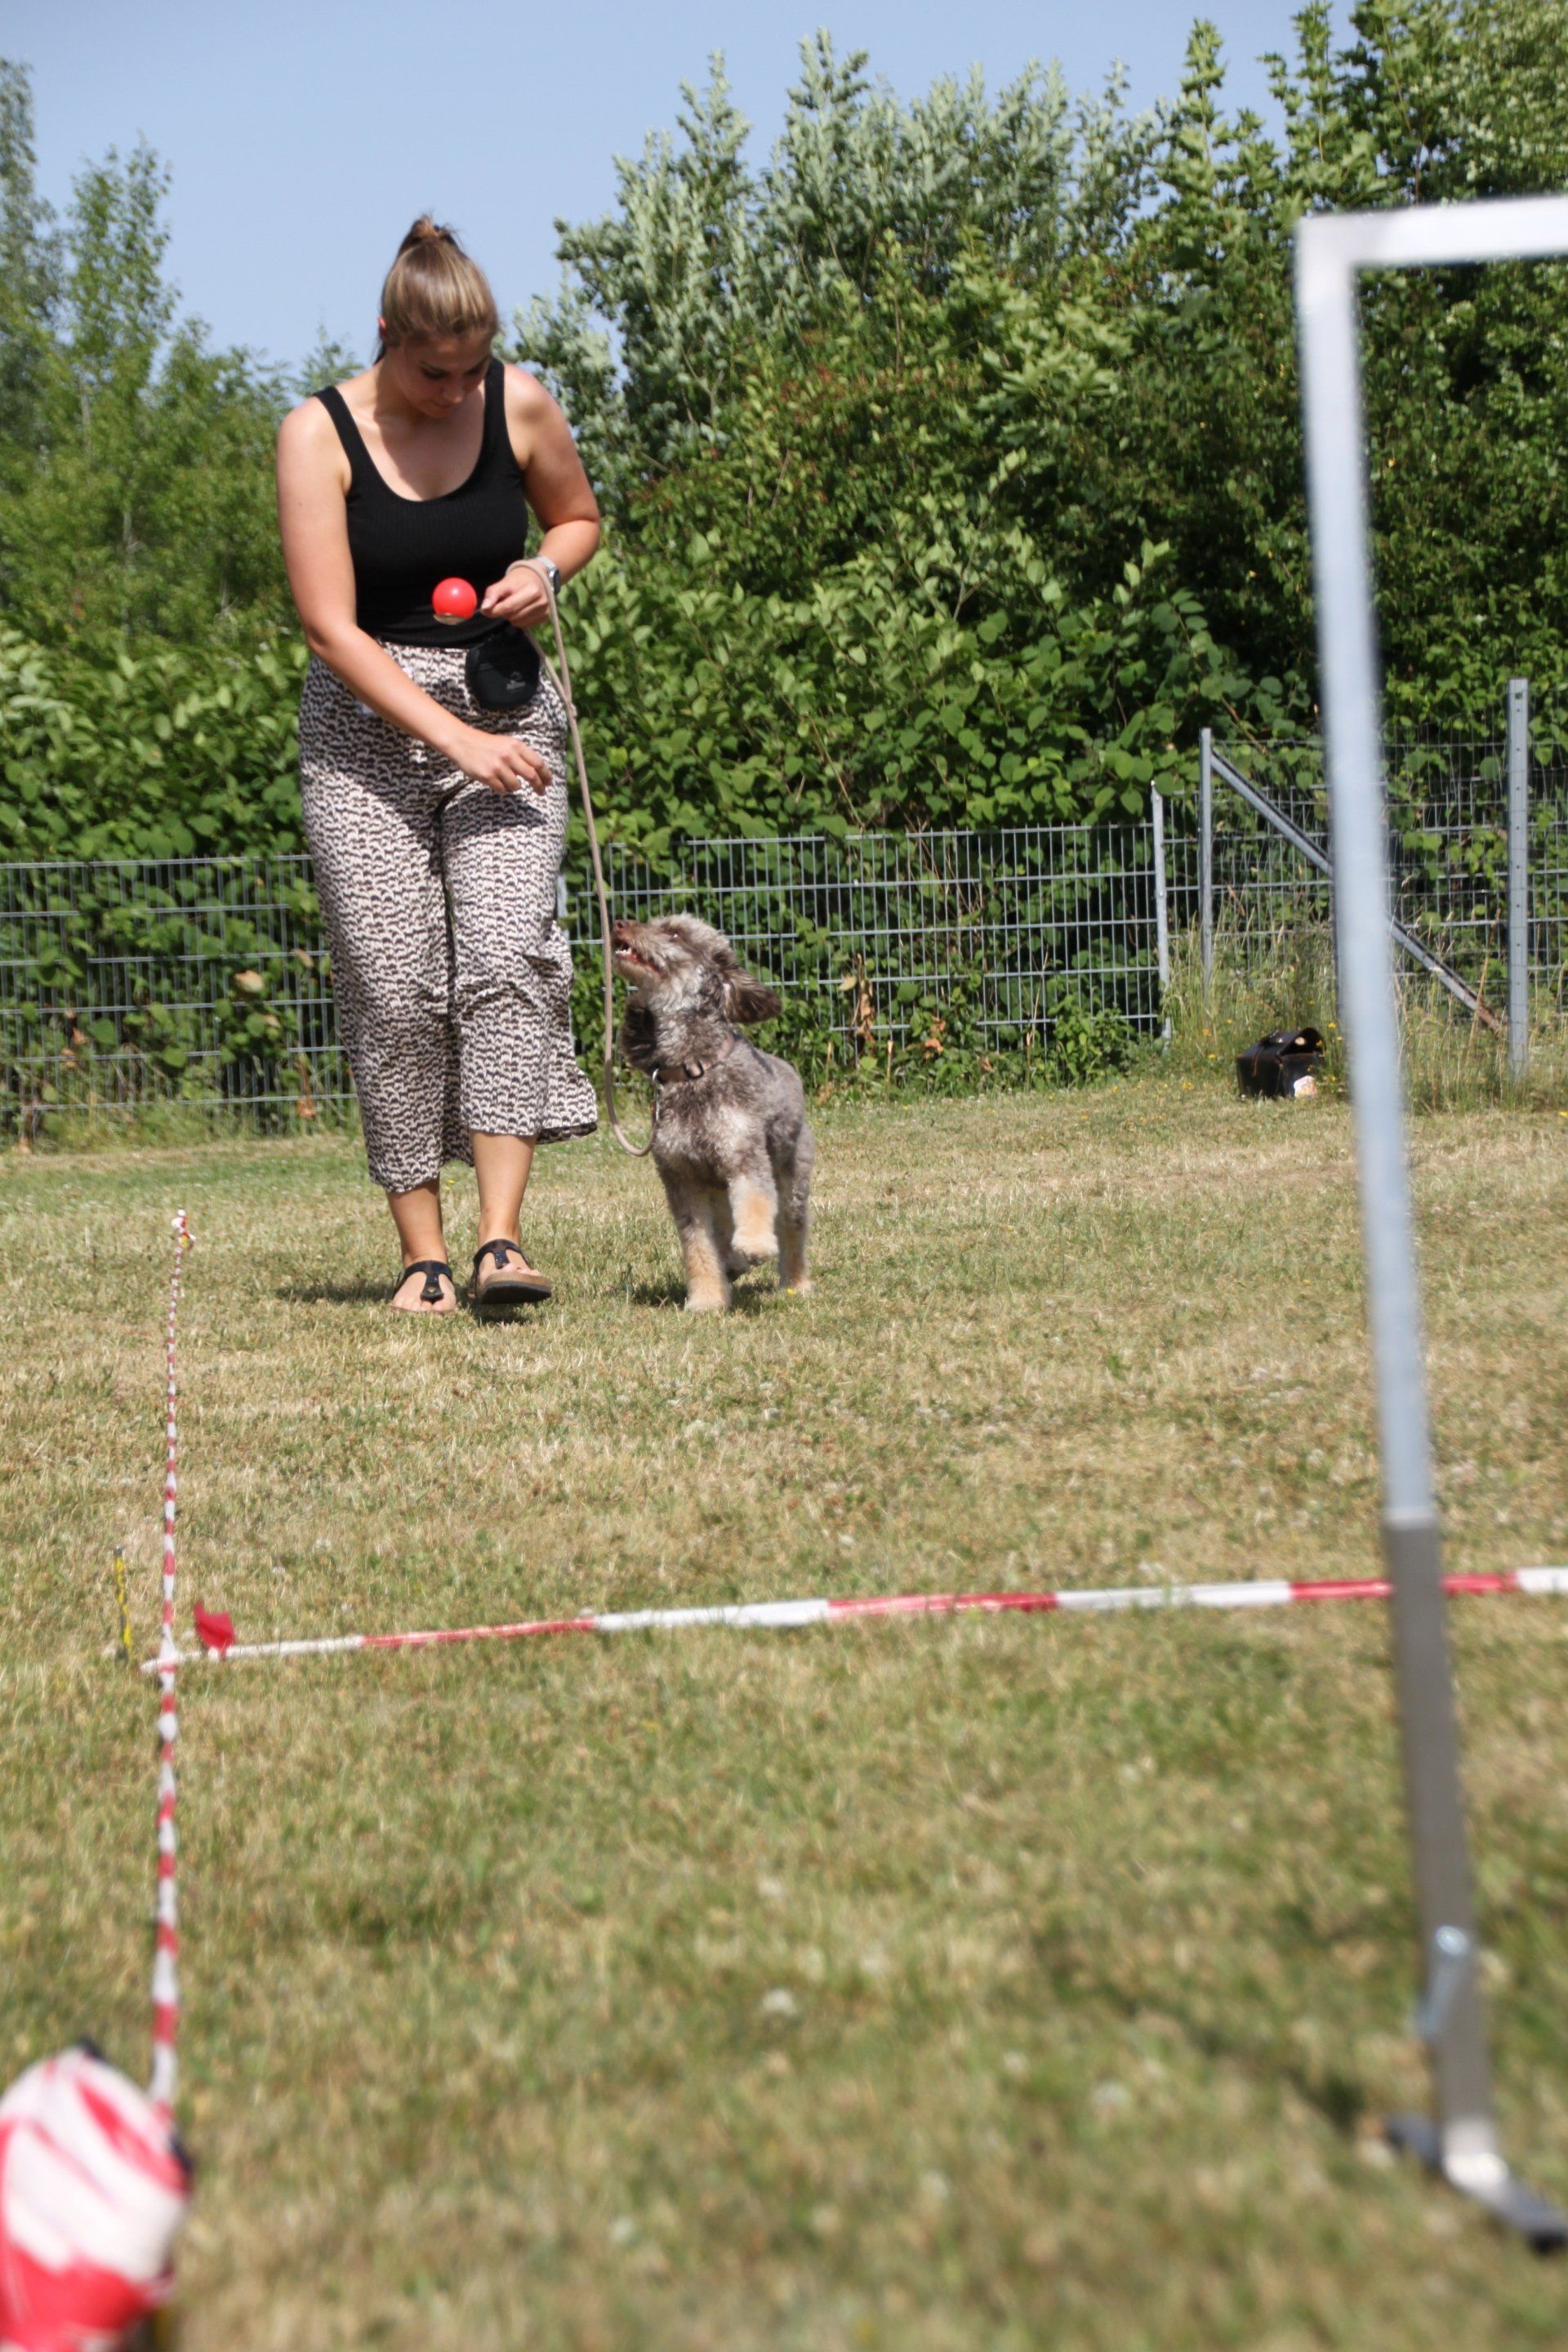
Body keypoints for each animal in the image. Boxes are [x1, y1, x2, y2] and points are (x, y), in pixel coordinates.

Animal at [611, 915, 813, 1312]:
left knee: (791, 1232)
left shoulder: (745, 1156)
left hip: (792, 1177)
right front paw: (706, 1301)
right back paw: (732, 1264)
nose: (620, 922)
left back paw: (795, 1284)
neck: (694, 1068)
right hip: (715, 1187)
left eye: (675, 933)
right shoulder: (682, 1179)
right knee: (723, 1228)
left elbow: (754, 1202)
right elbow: (698, 1248)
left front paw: (755, 1245)